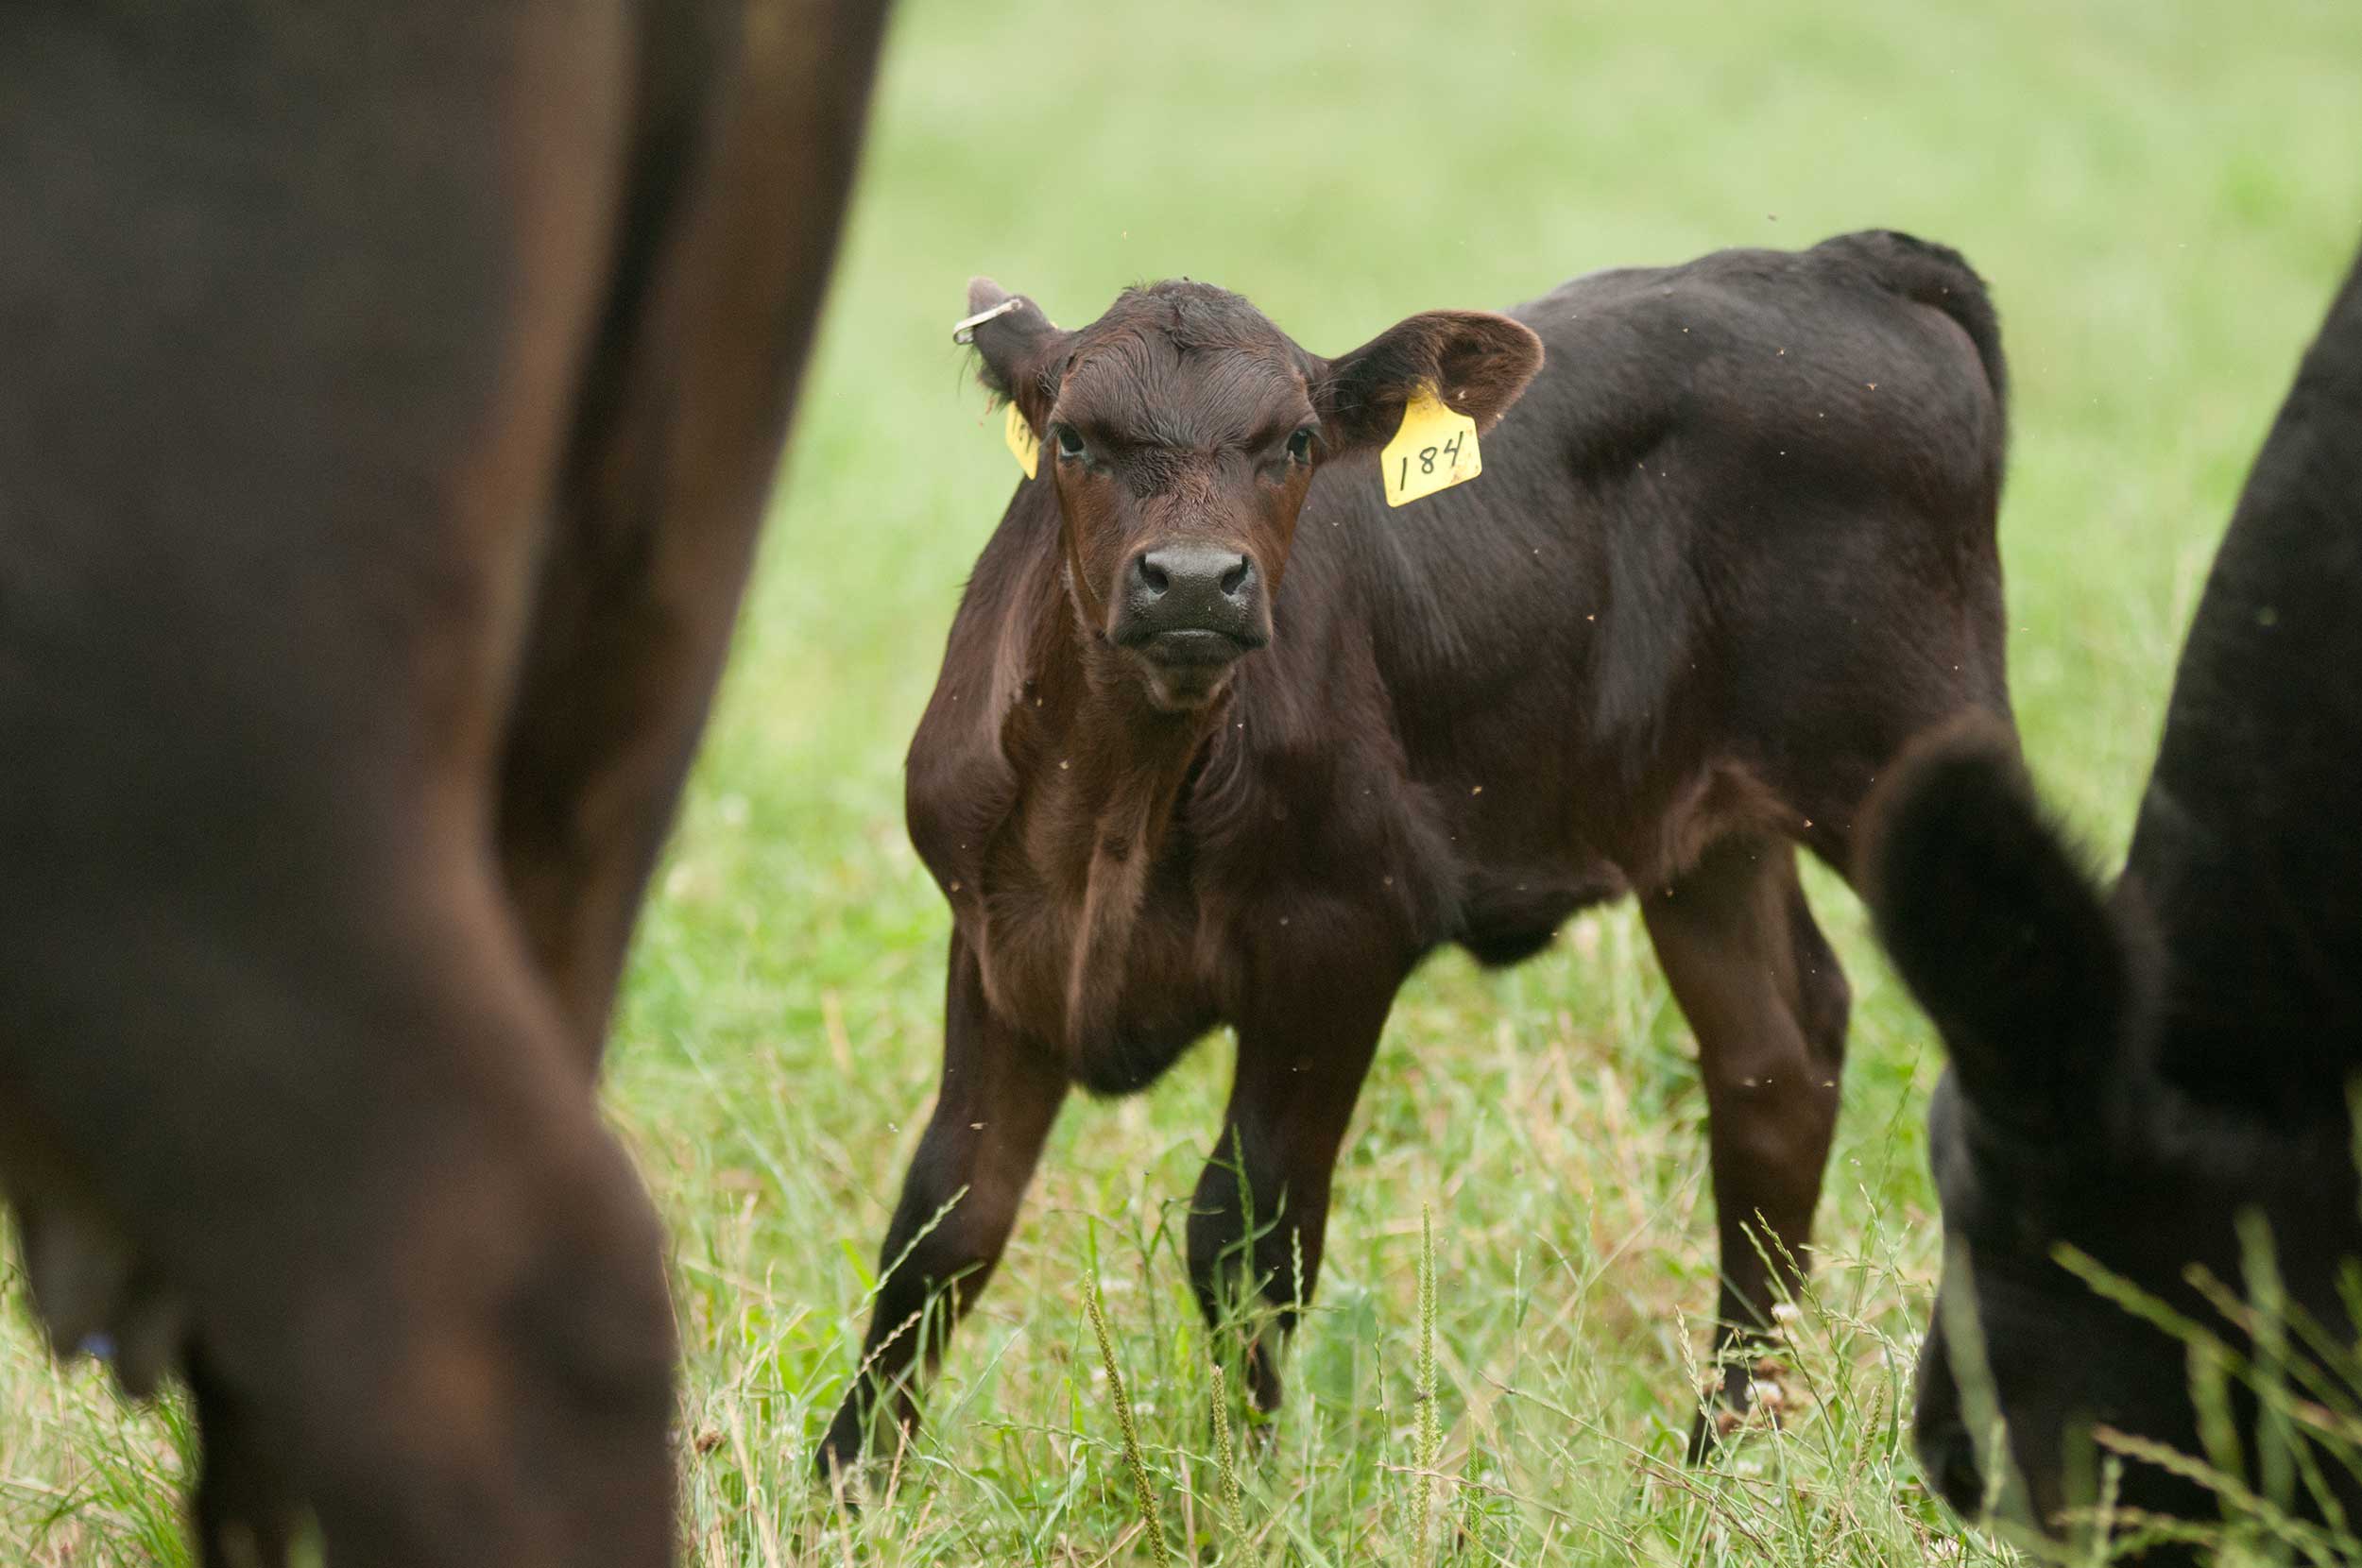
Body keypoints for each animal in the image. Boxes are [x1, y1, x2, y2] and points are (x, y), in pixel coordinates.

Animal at [827, 230, 2012, 1474]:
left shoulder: (1340, 938)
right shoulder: (997, 940)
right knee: (1774, 1058)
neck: (1111, 816)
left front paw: (1240, 1488)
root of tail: (1838, 263)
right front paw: (849, 1485)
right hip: (1701, 834)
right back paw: (1718, 1454)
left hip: (1908, 749)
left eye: (1295, 441)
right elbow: (944, 1220)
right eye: (1072, 437)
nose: (1193, 578)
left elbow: (1246, 1234)